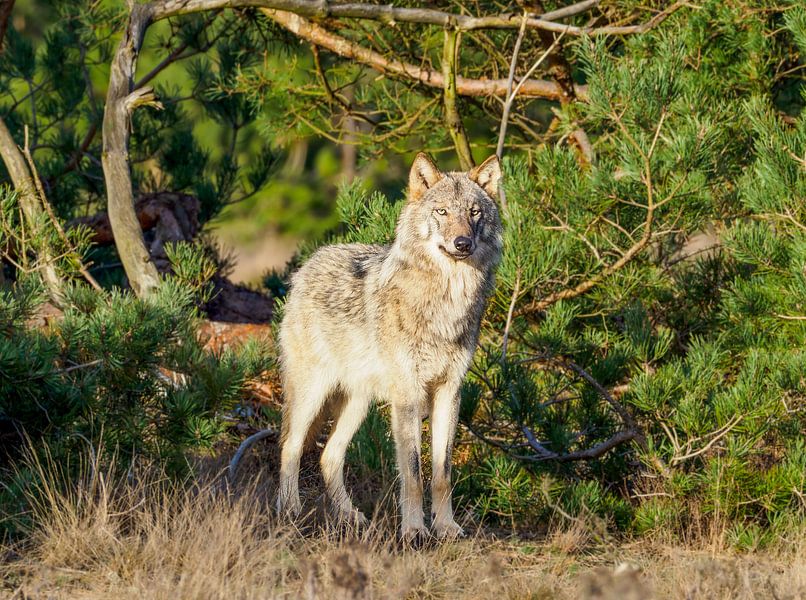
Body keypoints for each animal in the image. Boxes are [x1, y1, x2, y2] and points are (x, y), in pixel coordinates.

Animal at [275, 152, 503, 541]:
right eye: (442, 211)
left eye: (474, 212)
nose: (462, 244)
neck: (447, 301)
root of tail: (309, 262)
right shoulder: (408, 395)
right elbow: (412, 472)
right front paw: (414, 531)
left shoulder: (449, 391)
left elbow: (442, 473)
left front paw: (446, 527)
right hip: (312, 395)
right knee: (290, 447)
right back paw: (290, 510)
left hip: (358, 402)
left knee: (328, 456)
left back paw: (350, 516)